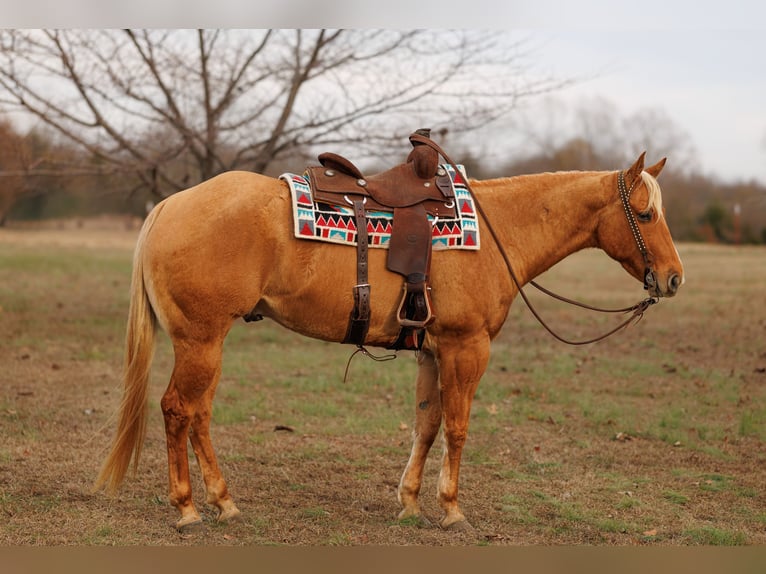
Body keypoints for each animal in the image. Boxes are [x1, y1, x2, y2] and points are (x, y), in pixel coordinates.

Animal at [94, 151, 684, 532]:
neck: (497, 232)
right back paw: (188, 509)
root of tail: (170, 206)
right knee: (178, 409)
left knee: (199, 415)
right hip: (200, 340)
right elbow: (458, 427)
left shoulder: (433, 350)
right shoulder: (466, 349)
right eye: (647, 213)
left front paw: (411, 503)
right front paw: (451, 509)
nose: (674, 278)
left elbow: (426, 425)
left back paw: (224, 502)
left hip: (209, 344)